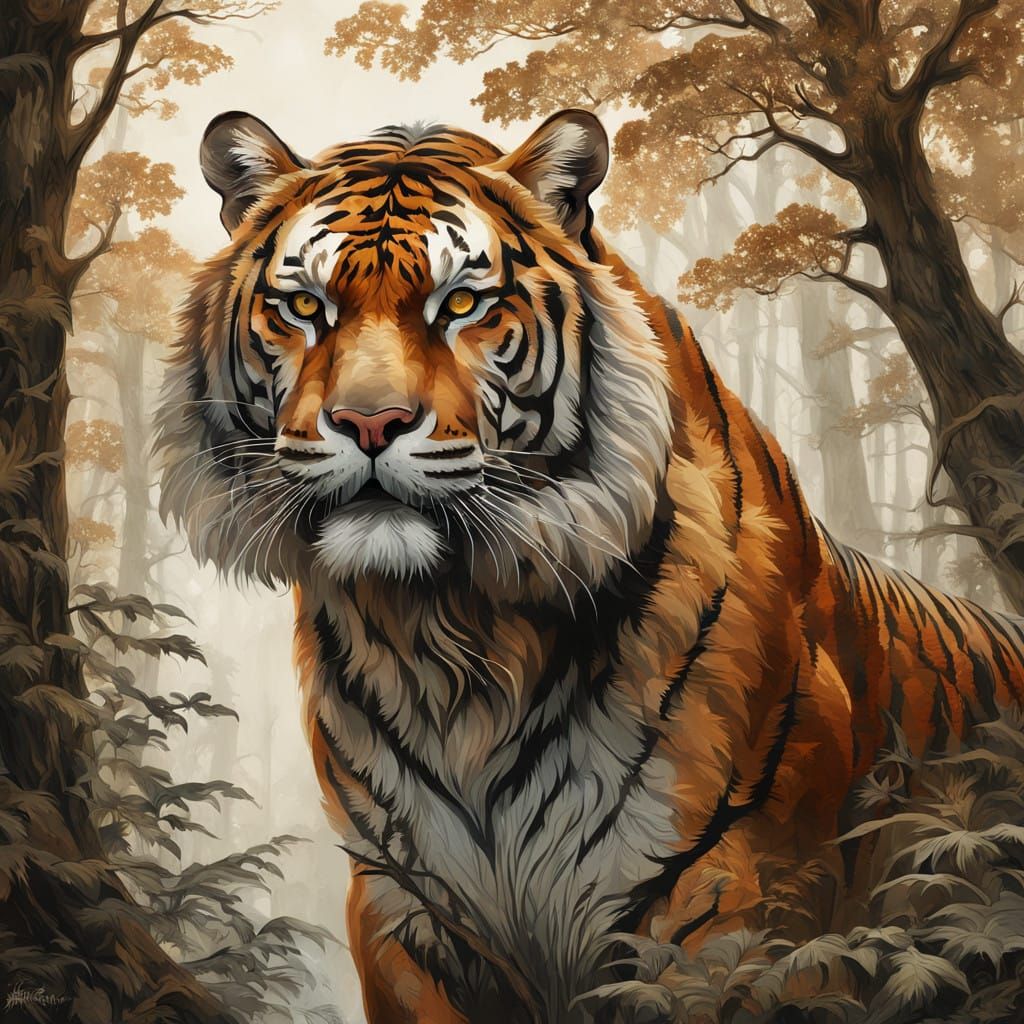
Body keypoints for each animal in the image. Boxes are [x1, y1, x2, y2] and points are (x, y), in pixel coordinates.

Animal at [156, 108, 1024, 1024]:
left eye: (460, 303)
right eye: (304, 307)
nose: (370, 421)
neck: (450, 638)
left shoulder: (730, 907)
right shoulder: (403, 905)